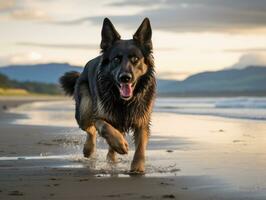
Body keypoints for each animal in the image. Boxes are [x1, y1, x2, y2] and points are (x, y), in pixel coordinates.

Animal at [59, 17, 156, 173]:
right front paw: (120, 144)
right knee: (91, 130)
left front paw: (137, 167)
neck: (124, 101)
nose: (125, 78)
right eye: (116, 59)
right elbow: (104, 127)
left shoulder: (141, 120)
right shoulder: (100, 116)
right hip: (84, 111)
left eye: (135, 59)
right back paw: (90, 149)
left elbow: (140, 146)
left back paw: (112, 158)